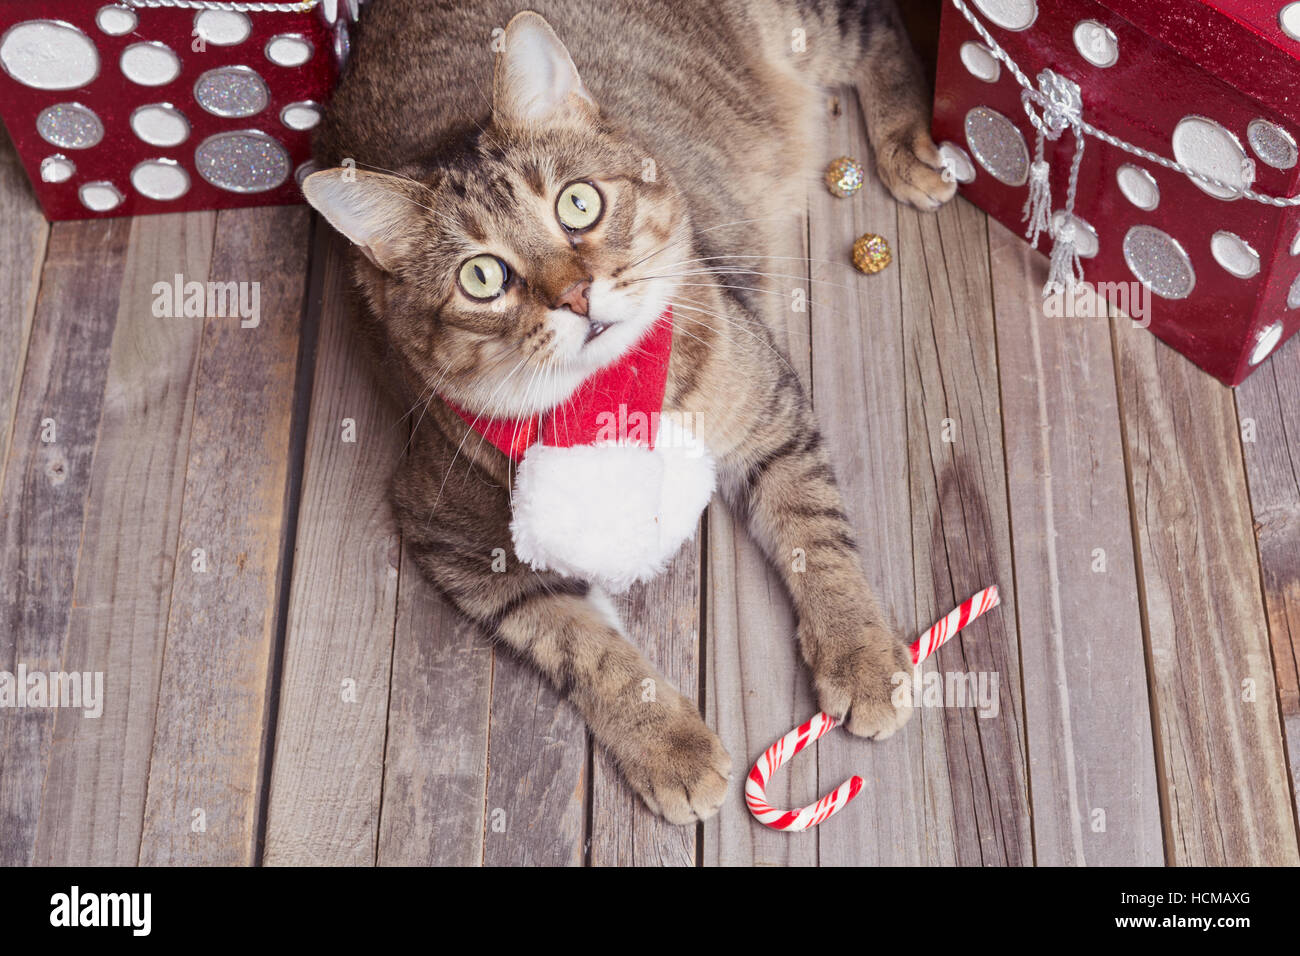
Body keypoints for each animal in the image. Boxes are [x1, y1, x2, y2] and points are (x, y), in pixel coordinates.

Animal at [301, 0, 956, 822]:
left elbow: (818, 535)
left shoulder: (769, 411)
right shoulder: (459, 545)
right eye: (482, 277)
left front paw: (861, 655)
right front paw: (670, 746)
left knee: (883, 30)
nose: (577, 296)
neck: (606, 400)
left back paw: (912, 150)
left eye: (578, 203)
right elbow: (588, 650)